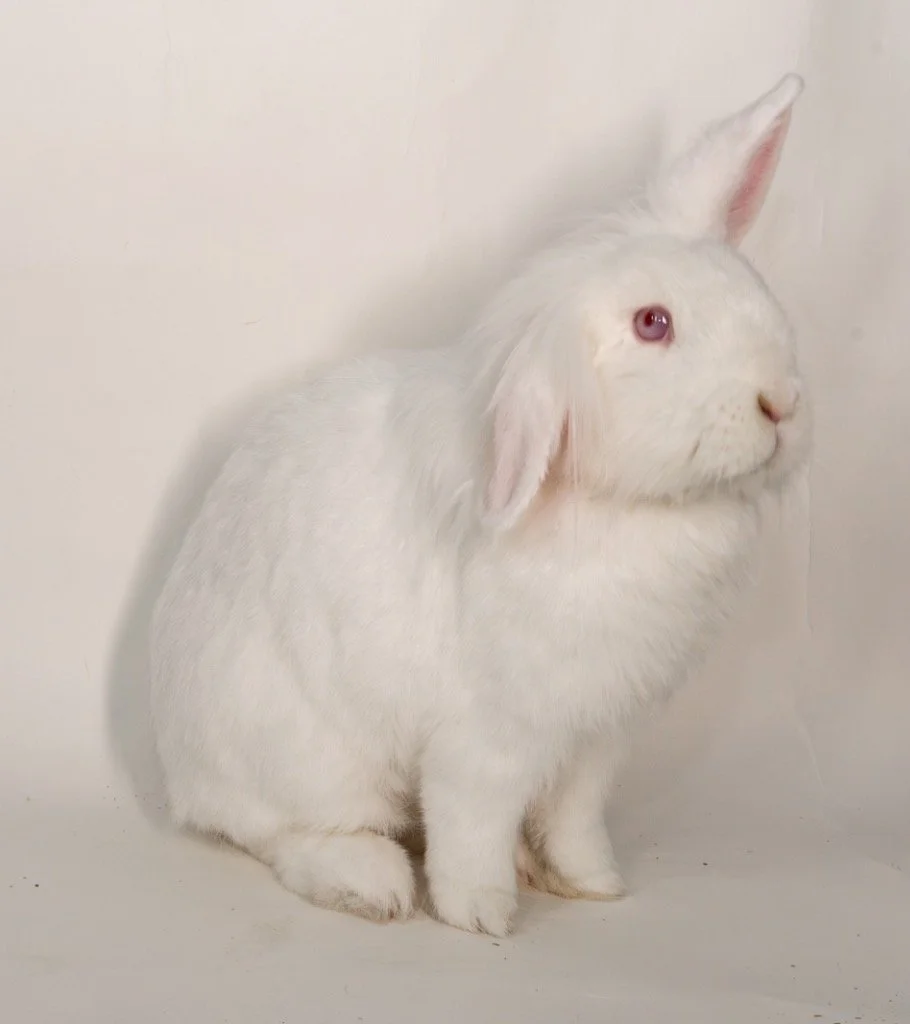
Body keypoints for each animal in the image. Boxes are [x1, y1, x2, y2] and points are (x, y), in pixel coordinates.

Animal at [149, 74, 810, 937]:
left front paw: (594, 882)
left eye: (752, 291)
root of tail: (174, 761)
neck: (627, 507)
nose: (781, 403)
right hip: (307, 754)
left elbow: (574, 818)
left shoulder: (597, 738)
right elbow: (472, 822)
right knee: (283, 832)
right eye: (652, 324)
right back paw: (373, 883)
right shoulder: (487, 737)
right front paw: (481, 913)